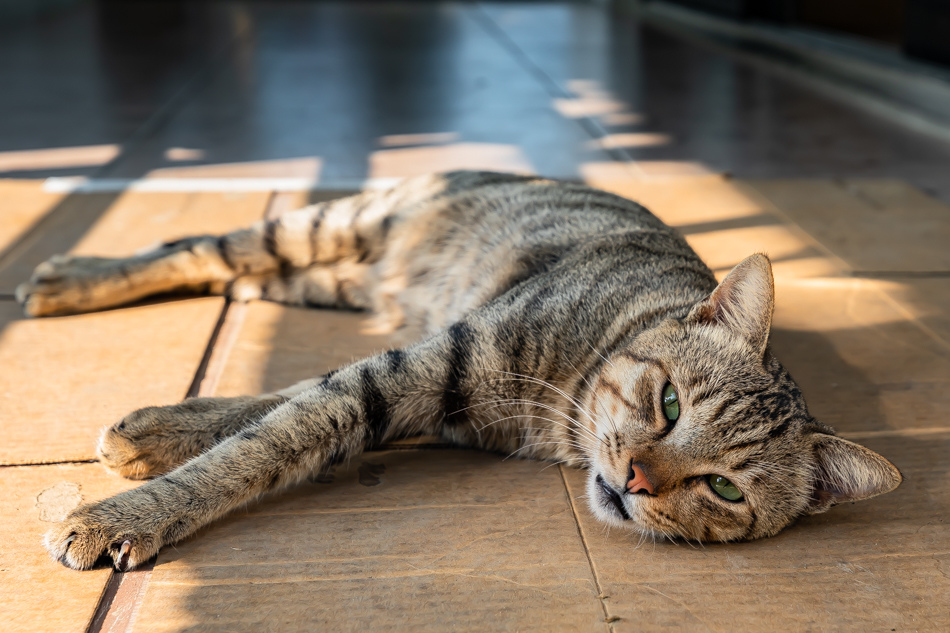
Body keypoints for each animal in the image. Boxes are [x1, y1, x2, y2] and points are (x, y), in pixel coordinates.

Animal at [18, 170, 904, 572]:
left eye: (723, 487)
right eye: (671, 402)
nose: (636, 480)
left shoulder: (422, 394)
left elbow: (282, 407)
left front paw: (154, 435)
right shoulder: (428, 360)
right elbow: (271, 435)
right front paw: (124, 511)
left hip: (324, 279)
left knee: (232, 275)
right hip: (330, 225)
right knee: (201, 247)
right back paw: (66, 278)